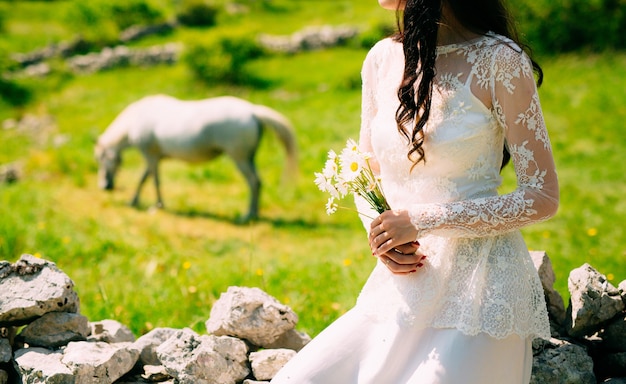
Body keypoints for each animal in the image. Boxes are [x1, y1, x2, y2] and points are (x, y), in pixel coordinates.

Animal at [94, 94, 296, 222]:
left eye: (100, 159)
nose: (104, 187)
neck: (137, 118)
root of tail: (253, 111)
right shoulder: (156, 157)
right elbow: (148, 178)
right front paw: (139, 202)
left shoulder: (150, 155)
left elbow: (150, 180)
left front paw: (155, 205)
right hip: (249, 158)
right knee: (258, 182)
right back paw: (254, 214)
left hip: (240, 158)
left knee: (253, 182)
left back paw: (247, 216)